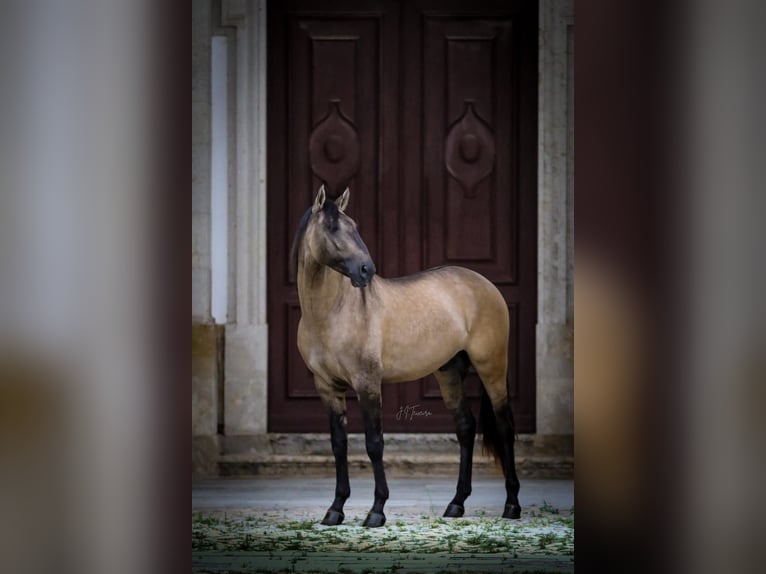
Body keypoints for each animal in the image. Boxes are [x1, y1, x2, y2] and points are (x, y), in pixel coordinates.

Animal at [294, 187, 520, 528]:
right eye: (332, 227)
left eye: (355, 225)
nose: (366, 271)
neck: (331, 314)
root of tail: (484, 284)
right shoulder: (327, 387)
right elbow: (338, 444)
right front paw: (335, 509)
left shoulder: (367, 383)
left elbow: (374, 444)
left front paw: (376, 511)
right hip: (449, 372)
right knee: (465, 427)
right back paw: (456, 504)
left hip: (491, 367)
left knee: (505, 427)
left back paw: (512, 505)